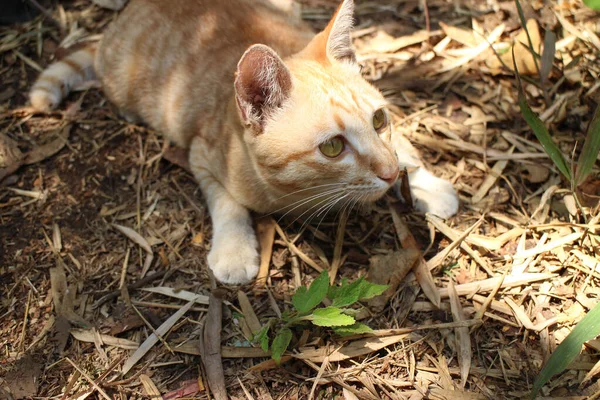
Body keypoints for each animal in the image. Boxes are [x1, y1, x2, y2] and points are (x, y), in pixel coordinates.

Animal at [30, 0, 458, 282]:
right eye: (333, 147)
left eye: (379, 119)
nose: (388, 175)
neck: (297, 193)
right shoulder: (200, 155)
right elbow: (227, 204)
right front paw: (234, 250)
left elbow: (404, 149)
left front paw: (425, 184)